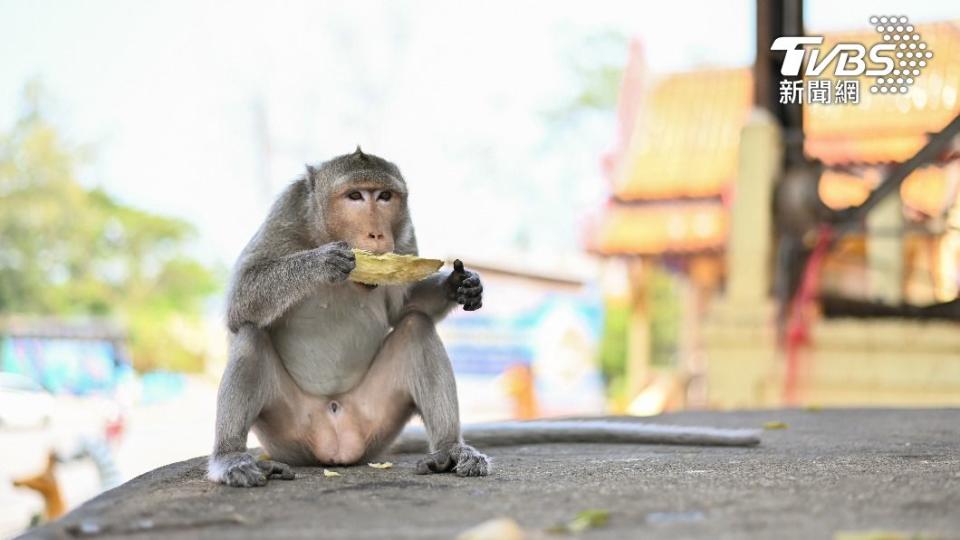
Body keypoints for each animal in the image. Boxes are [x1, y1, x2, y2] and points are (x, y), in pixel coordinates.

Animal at [208, 148, 756, 490]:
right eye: (355, 196)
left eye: (385, 197)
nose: (376, 235)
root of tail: (338, 446)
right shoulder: (286, 213)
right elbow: (242, 302)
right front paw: (326, 261)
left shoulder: (408, 234)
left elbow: (404, 307)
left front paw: (460, 285)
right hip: (290, 434)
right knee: (250, 337)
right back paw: (230, 456)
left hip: (373, 425)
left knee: (416, 331)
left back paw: (452, 450)